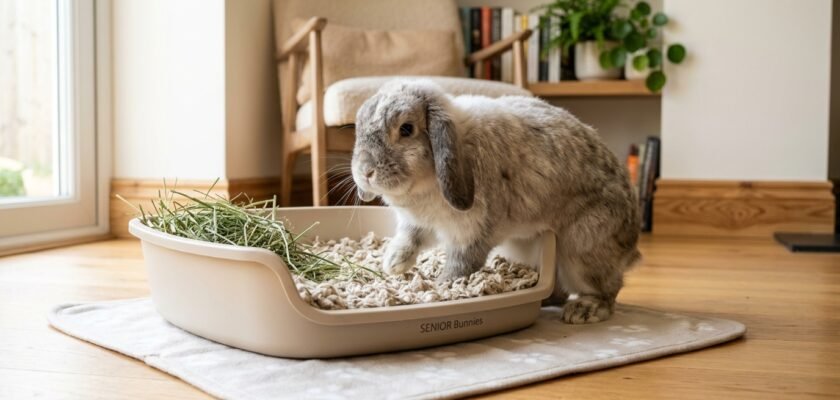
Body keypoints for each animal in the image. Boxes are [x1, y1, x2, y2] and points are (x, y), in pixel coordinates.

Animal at [350, 79, 640, 324]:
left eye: (406, 129)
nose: (365, 171)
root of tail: (631, 246)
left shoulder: (471, 233)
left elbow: (461, 263)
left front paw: (442, 285)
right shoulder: (419, 224)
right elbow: (409, 239)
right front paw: (393, 263)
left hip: (582, 250)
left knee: (608, 291)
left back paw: (583, 310)